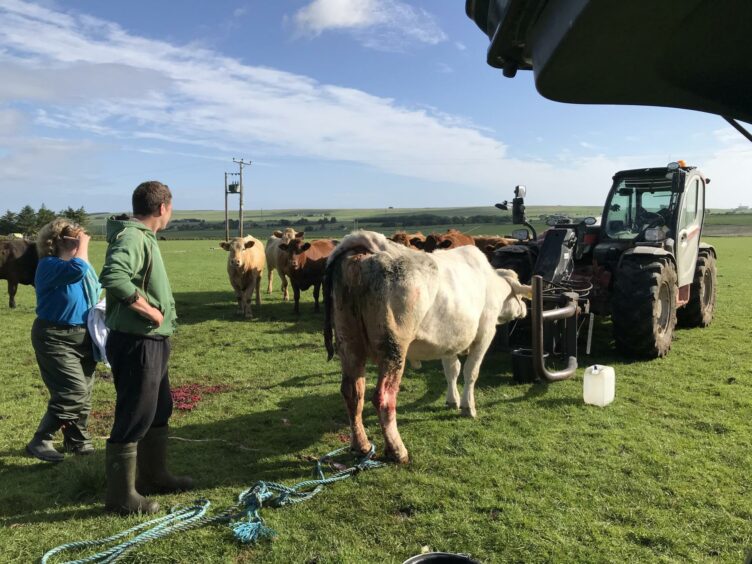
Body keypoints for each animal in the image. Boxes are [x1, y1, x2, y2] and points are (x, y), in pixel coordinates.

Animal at [322, 229, 528, 462]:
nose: (525, 309)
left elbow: (452, 370)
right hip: (393, 349)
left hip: (349, 343)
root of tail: (367, 246)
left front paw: (452, 400)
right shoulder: (485, 334)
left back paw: (362, 446)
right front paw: (468, 407)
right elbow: (471, 372)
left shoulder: (448, 341)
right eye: (518, 294)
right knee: (383, 397)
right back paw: (397, 450)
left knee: (353, 393)